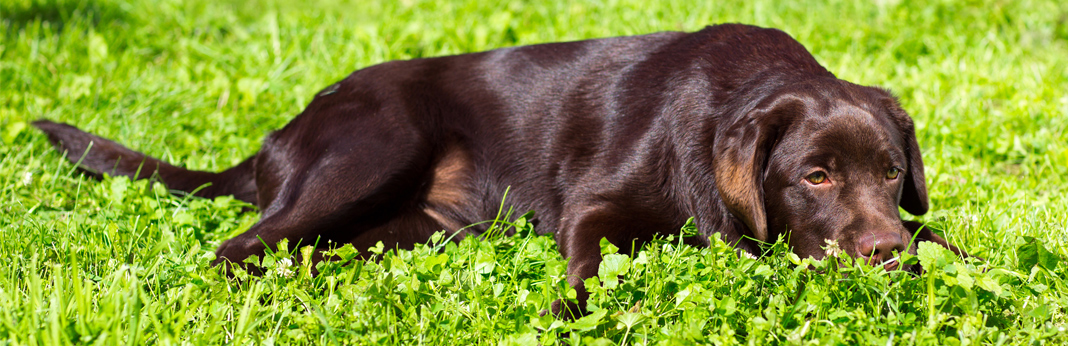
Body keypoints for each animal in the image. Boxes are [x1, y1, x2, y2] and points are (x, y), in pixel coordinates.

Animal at [33, 23, 969, 316]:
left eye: (893, 172)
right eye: (814, 176)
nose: (884, 254)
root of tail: (278, 132)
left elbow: (946, 236)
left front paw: (952, 258)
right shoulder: (591, 207)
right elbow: (587, 267)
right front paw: (568, 312)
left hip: (410, 229)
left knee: (310, 251)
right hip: (374, 146)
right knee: (238, 247)